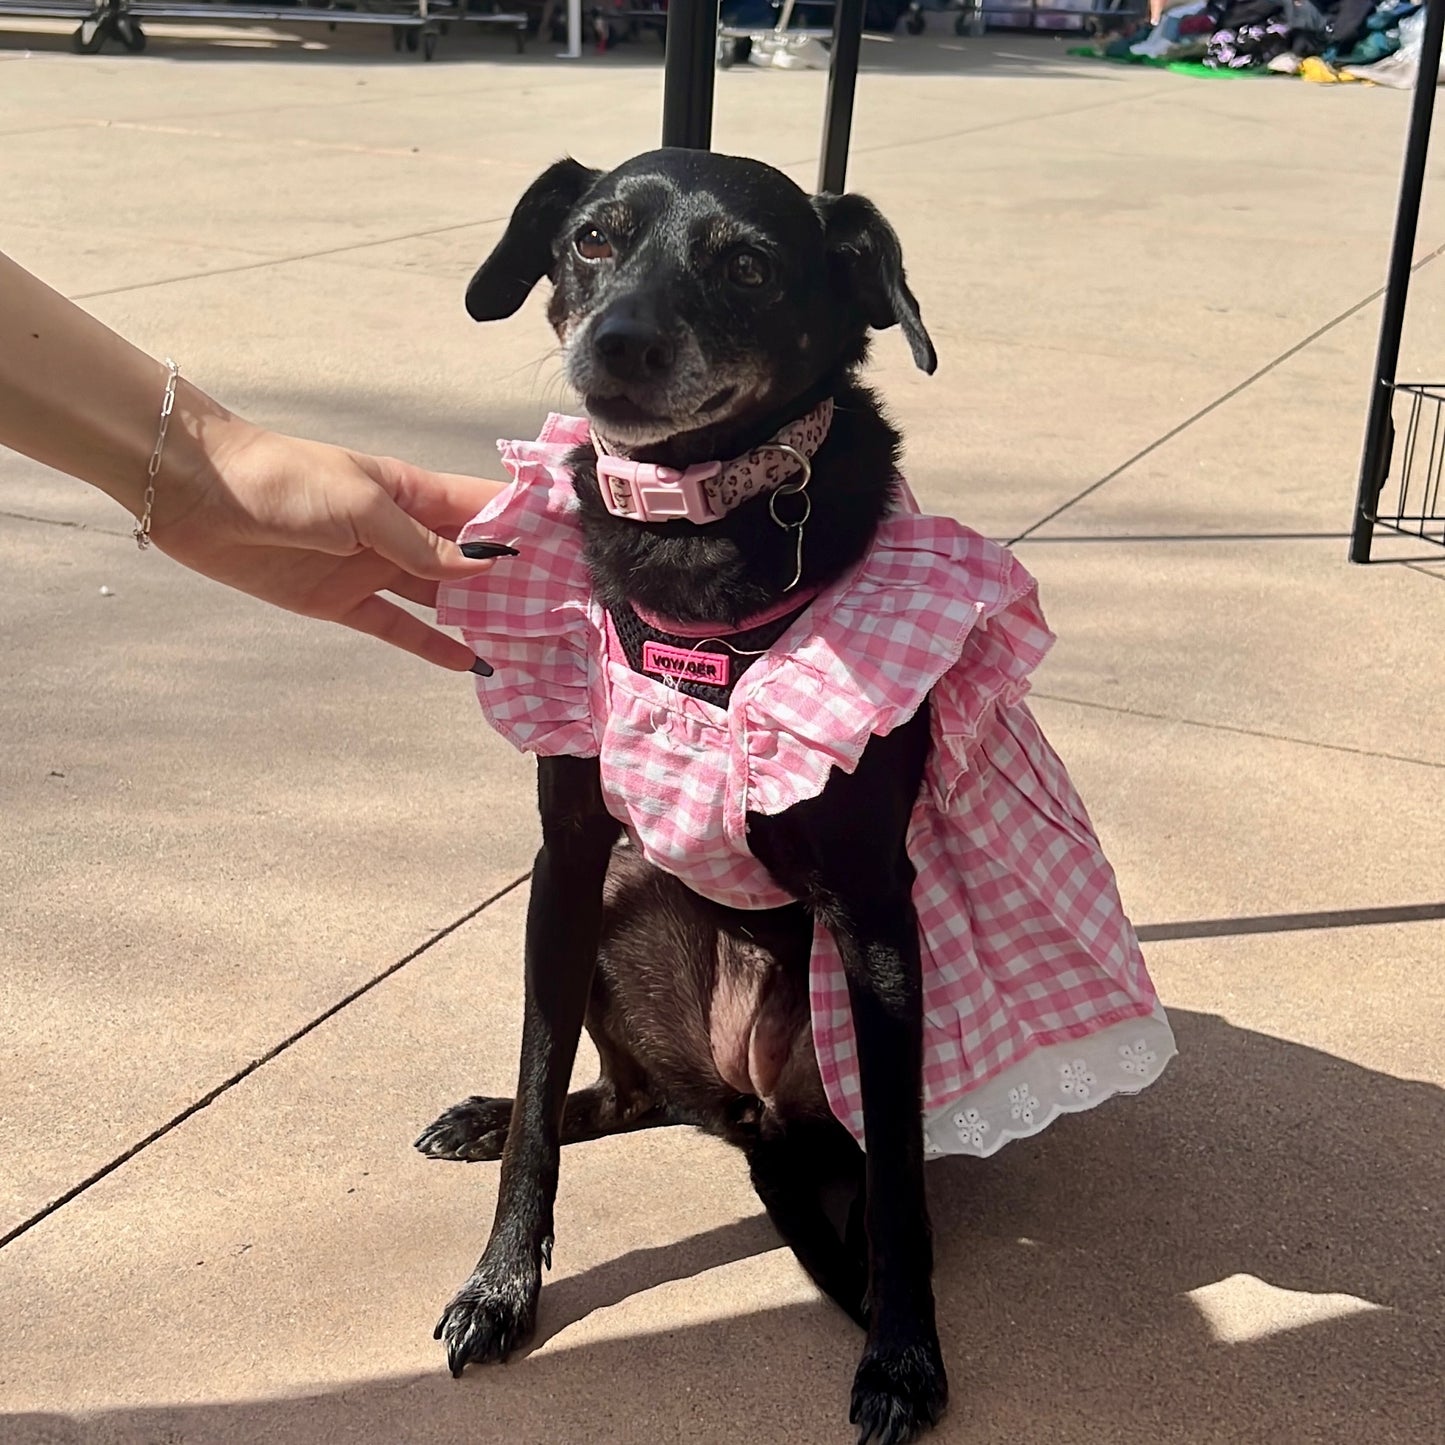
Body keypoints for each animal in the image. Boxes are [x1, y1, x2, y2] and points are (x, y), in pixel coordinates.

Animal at [419, 149, 953, 1445]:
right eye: (593, 238)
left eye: (747, 266)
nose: (617, 344)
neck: (694, 534)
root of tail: (740, 1103)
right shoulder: (566, 857)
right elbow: (537, 1080)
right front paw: (498, 1282)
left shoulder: (875, 910)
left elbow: (898, 1181)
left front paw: (901, 1352)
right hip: (617, 900)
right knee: (608, 1094)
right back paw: (488, 1114)